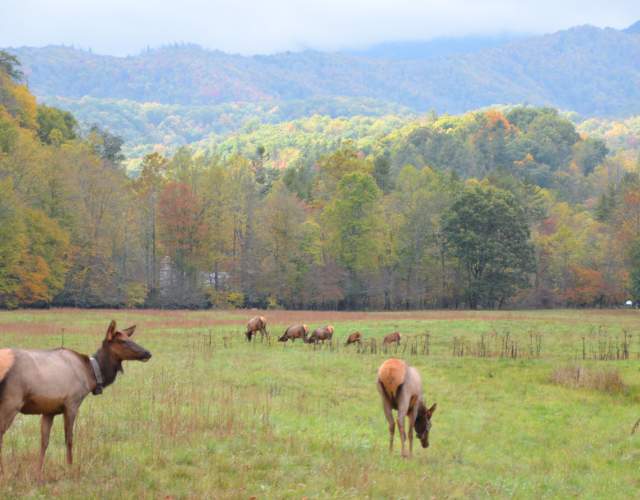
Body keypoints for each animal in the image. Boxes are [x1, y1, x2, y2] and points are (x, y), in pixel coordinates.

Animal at [0, 322, 152, 478]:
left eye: (130, 338)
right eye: (122, 341)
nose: (147, 353)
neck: (92, 375)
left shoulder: (49, 409)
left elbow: (44, 441)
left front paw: (39, 472)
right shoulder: (72, 403)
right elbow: (69, 439)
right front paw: (70, 467)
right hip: (11, 402)